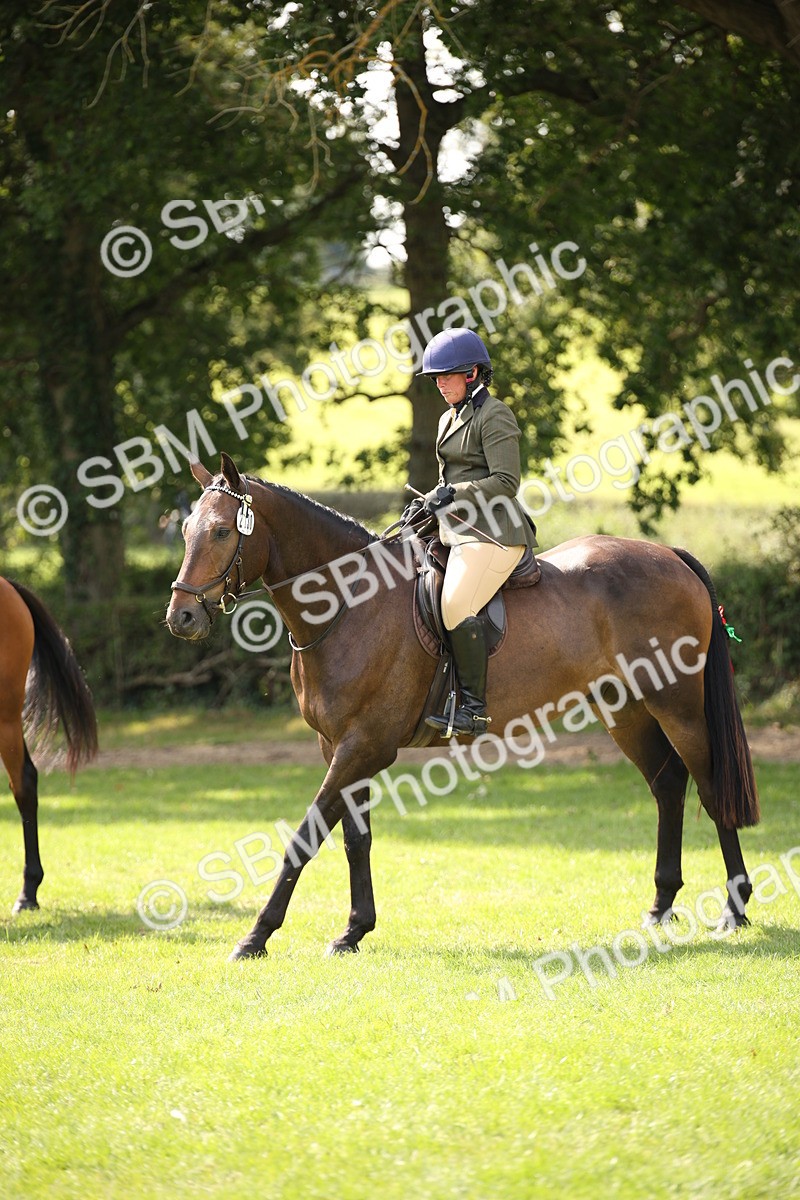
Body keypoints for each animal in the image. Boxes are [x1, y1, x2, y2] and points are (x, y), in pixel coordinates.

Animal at [166, 453, 759, 962]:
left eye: (222, 532)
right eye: (187, 529)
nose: (181, 618)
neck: (349, 605)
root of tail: (670, 555)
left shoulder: (363, 747)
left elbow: (306, 837)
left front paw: (256, 937)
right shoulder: (341, 747)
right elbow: (357, 838)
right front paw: (355, 930)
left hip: (678, 708)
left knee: (711, 789)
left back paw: (734, 910)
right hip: (626, 711)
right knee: (668, 785)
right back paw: (660, 906)